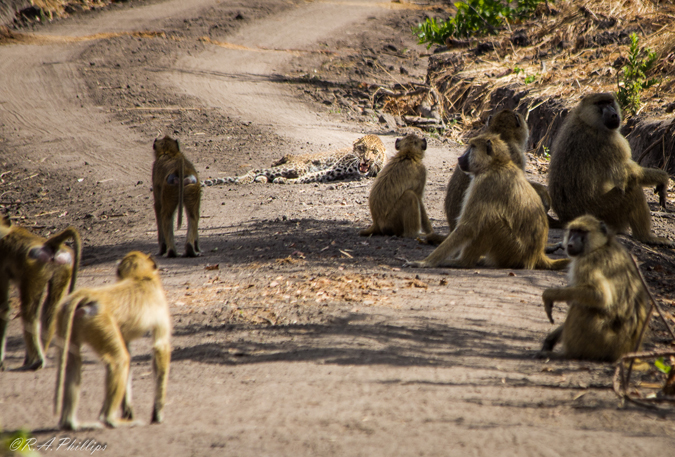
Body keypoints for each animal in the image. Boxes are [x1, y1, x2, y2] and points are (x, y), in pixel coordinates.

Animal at [202, 134, 386, 185]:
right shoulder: (333, 169)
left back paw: (262, 179)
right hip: (296, 166)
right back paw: (244, 179)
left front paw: (283, 180)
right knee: (257, 169)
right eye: (362, 149)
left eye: (374, 152)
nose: (366, 160)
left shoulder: (332, 173)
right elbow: (308, 177)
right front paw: (284, 181)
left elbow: (309, 177)